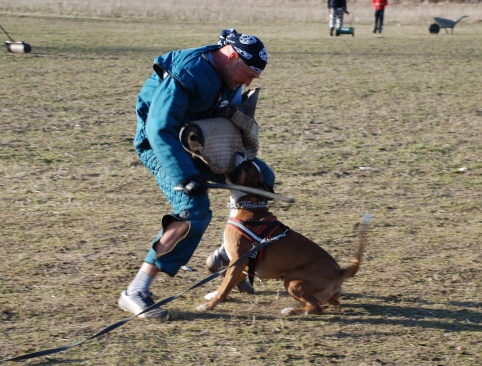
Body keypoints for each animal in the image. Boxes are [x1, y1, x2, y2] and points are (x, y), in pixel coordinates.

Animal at [198, 159, 370, 316]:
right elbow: (229, 283)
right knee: (331, 302)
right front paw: (213, 295)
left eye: (246, 166)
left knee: (316, 308)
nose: (241, 154)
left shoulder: (238, 260)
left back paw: (290, 311)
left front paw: (209, 306)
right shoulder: (242, 264)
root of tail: (340, 272)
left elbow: (225, 286)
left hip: (292, 282)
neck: (248, 206)